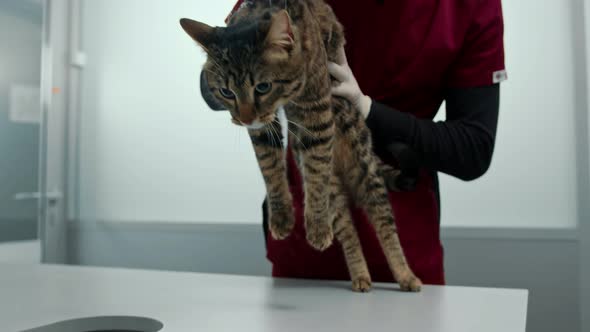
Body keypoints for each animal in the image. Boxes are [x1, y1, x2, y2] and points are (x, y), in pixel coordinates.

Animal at [179, 0, 420, 290]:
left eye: (263, 87)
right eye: (226, 92)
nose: (245, 119)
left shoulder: (317, 114)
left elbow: (315, 177)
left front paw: (316, 226)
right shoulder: (264, 129)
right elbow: (270, 169)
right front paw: (282, 217)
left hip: (364, 165)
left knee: (384, 223)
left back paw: (405, 275)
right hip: (335, 190)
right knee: (348, 229)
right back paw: (360, 275)